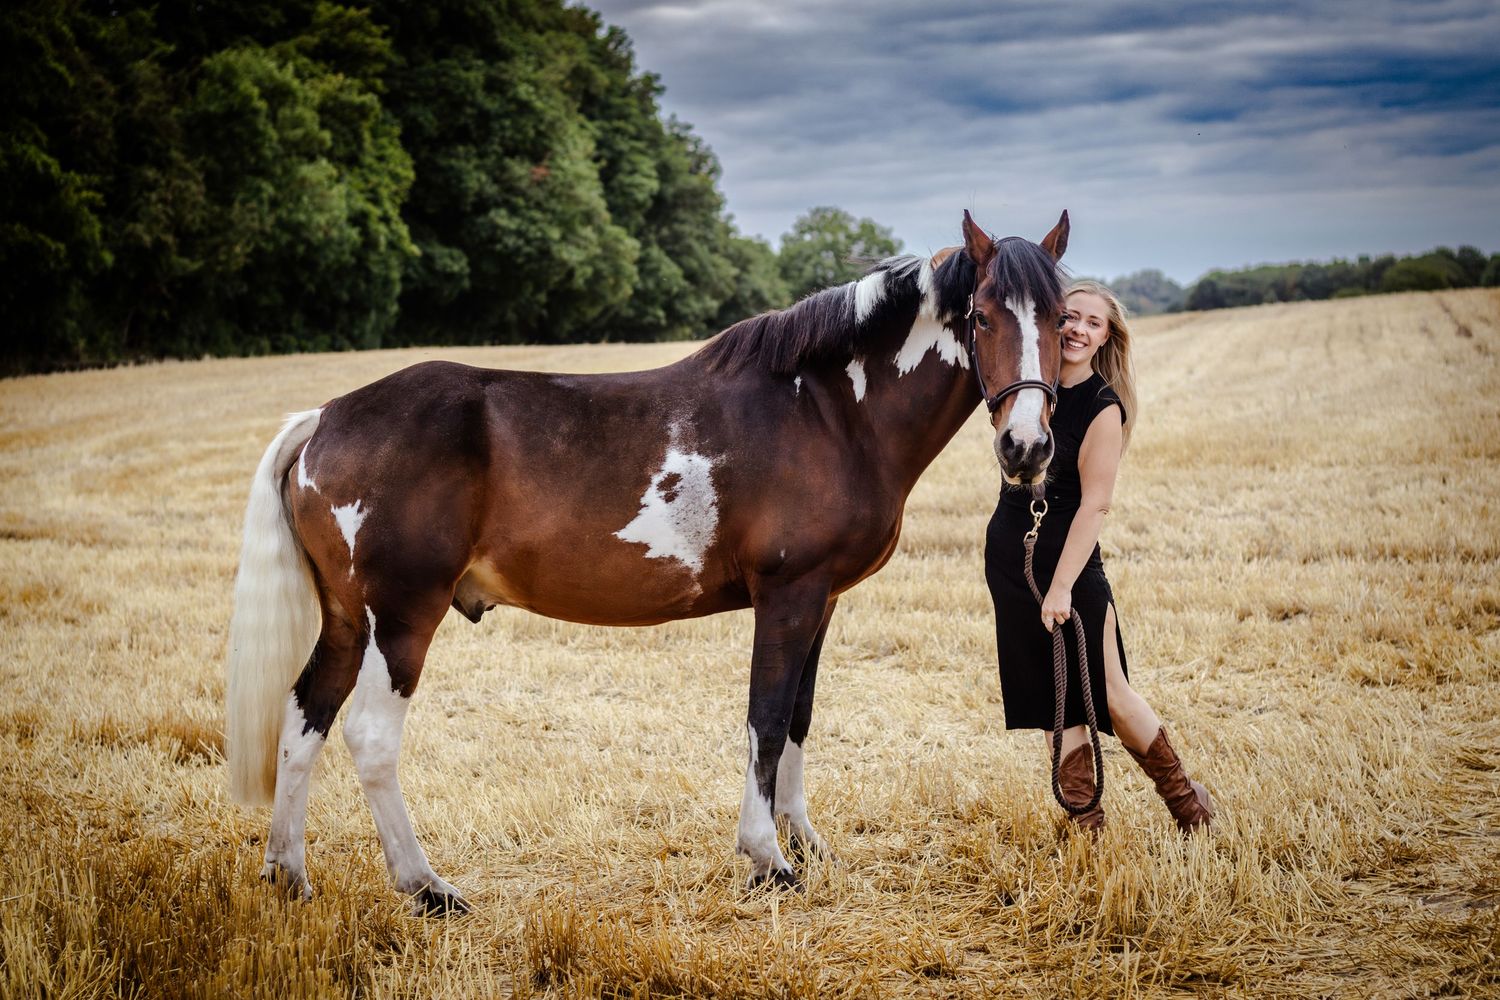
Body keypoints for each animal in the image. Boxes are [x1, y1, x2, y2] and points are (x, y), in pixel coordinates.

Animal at [226, 209, 1070, 914]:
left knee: (304, 720)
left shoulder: (822, 598)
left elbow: (798, 717)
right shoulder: (789, 594)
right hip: (400, 616)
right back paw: (426, 886)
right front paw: (768, 858)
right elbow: (766, 719)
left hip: (347, 620)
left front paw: (805, 842)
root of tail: (325, 419)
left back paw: (289, 875)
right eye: (983, 316)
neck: (829, 410)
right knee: (370, 736)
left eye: (1064, 322)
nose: (1027, 448)